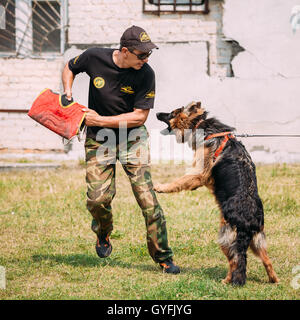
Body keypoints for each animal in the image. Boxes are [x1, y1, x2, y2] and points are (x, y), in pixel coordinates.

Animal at [155, 101, 278, 286]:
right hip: (257, 241)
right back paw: (274, 280)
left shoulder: (200, 172)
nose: (156, 113)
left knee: (235, 261)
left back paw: (226, 281)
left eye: (171, 113)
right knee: (266, 261)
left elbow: (179, 181)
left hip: (225, 238)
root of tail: (247, 222)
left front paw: (160, 186)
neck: (200, 125)